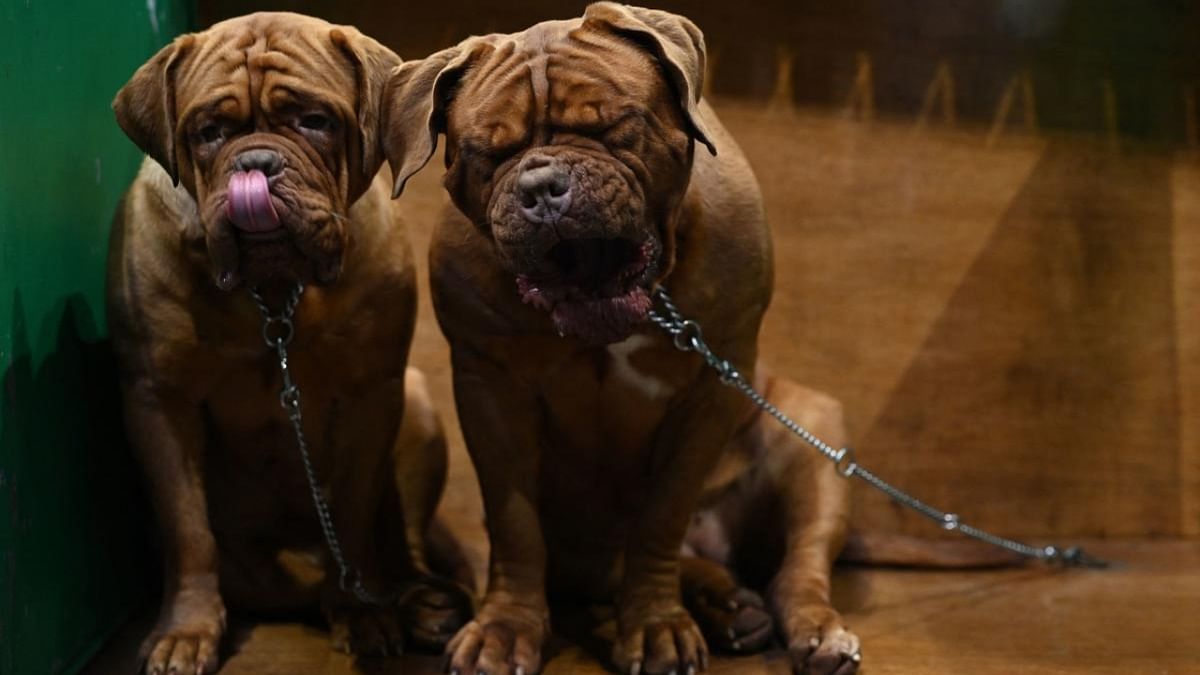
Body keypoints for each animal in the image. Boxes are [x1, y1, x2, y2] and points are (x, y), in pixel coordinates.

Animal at [384, 5, 864, 672]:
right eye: (490, 151)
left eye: (612, 126)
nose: (541, 187)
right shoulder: (489, 390)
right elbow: (515, 525)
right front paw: (504, 629)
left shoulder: (713, 389)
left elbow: (662, 517)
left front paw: (657, 625)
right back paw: (726, 604)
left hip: (813, 437)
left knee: (799, 565)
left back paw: (814, 631)